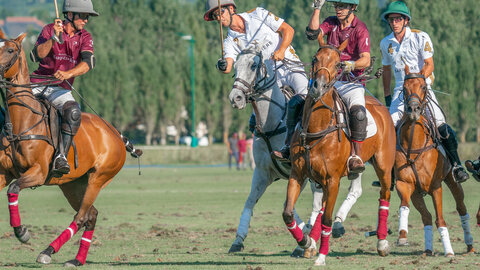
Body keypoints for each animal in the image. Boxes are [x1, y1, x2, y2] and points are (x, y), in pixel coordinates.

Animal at [0, 30, 142, 266]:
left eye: (10, 50)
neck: (22, 121)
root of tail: (114, 132)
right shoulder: (4, 172)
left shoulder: (38, 172)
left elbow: (13, 189)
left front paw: (22, 232)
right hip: (73, 184)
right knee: (91, 215)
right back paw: (74, 259)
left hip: (98, 178)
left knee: (82, 216)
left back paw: (49, 252)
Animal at [284, 37, 396, 266]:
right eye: (314, 59)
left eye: (338, 64)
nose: (317, 87)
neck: (316, 128)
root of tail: (381, 106)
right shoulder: (298, 174)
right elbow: (289, 213)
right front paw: (306, 242)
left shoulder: (333, 179)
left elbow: (327, 218)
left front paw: (321, 256)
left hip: (383, 164)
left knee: (385, 195)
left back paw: (382, 243)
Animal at [396, 66, 474, 256]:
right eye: (404, 87)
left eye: (423, 87)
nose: (413, 109)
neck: (414, 145)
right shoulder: (405, 184)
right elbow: (404, 206)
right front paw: (402, 236)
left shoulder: (436, 187)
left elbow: (441, 219)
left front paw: (449, 251)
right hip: (417, 193)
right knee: (426, 217)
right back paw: (428, 249)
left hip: (452, 181)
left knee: (461, 208)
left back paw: (469, 244)